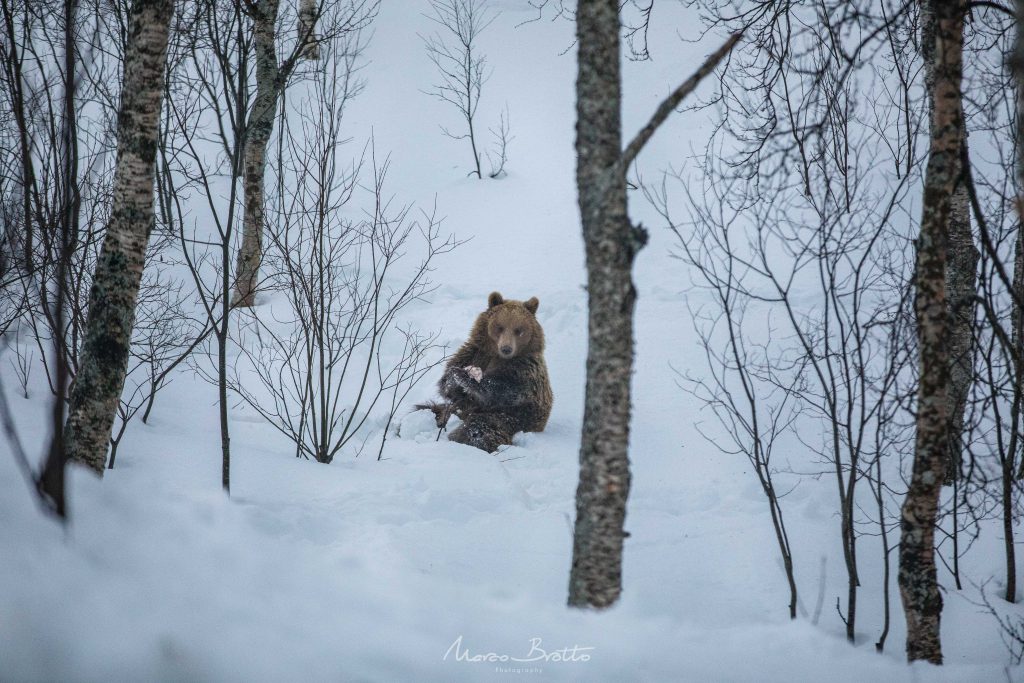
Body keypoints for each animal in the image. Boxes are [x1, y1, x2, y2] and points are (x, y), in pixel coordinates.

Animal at [426, 291, 553, 452]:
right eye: (500, 327)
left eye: (519, 330)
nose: (506, 348)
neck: (497, 356)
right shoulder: (475, 353)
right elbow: (448, 386)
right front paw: (453, 378)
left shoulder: (524, 370)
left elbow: (504, 390)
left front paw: (467, 377)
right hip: (457, 408)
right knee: (430, 408)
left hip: (512, 418)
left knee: (479, 428)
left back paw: (460, 439)